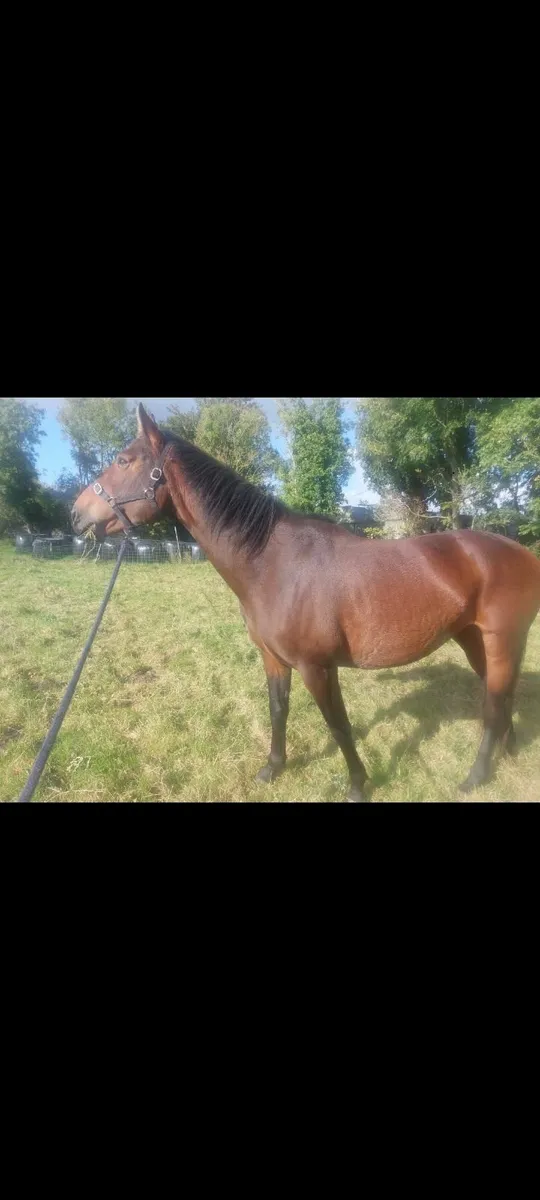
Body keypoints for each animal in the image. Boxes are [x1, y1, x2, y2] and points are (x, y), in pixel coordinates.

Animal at [71, 404, 540, 801]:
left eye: (124, 461)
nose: (76, 514)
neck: (271, 564)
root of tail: (521, 553)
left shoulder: (317, 667)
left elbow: (338, 725)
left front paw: (357, 785)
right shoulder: (273, 659)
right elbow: (278, 710)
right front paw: (273, 768)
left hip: (502, 639)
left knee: (494, 703)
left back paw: (476, 776)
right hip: (473, 639)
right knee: (501, 696)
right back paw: (508, 753)